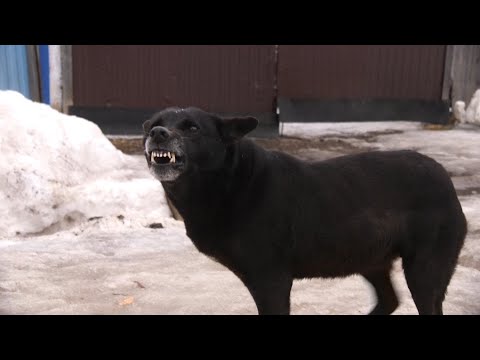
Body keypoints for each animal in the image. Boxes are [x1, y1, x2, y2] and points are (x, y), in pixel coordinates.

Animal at [142, 107, 464, 316]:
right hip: (369, 260)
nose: (157, 133)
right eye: (153, 123)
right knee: (389, 300)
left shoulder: (271, 280)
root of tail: (443, 175)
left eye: (192, 127)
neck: (230, 181)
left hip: (424, 272)